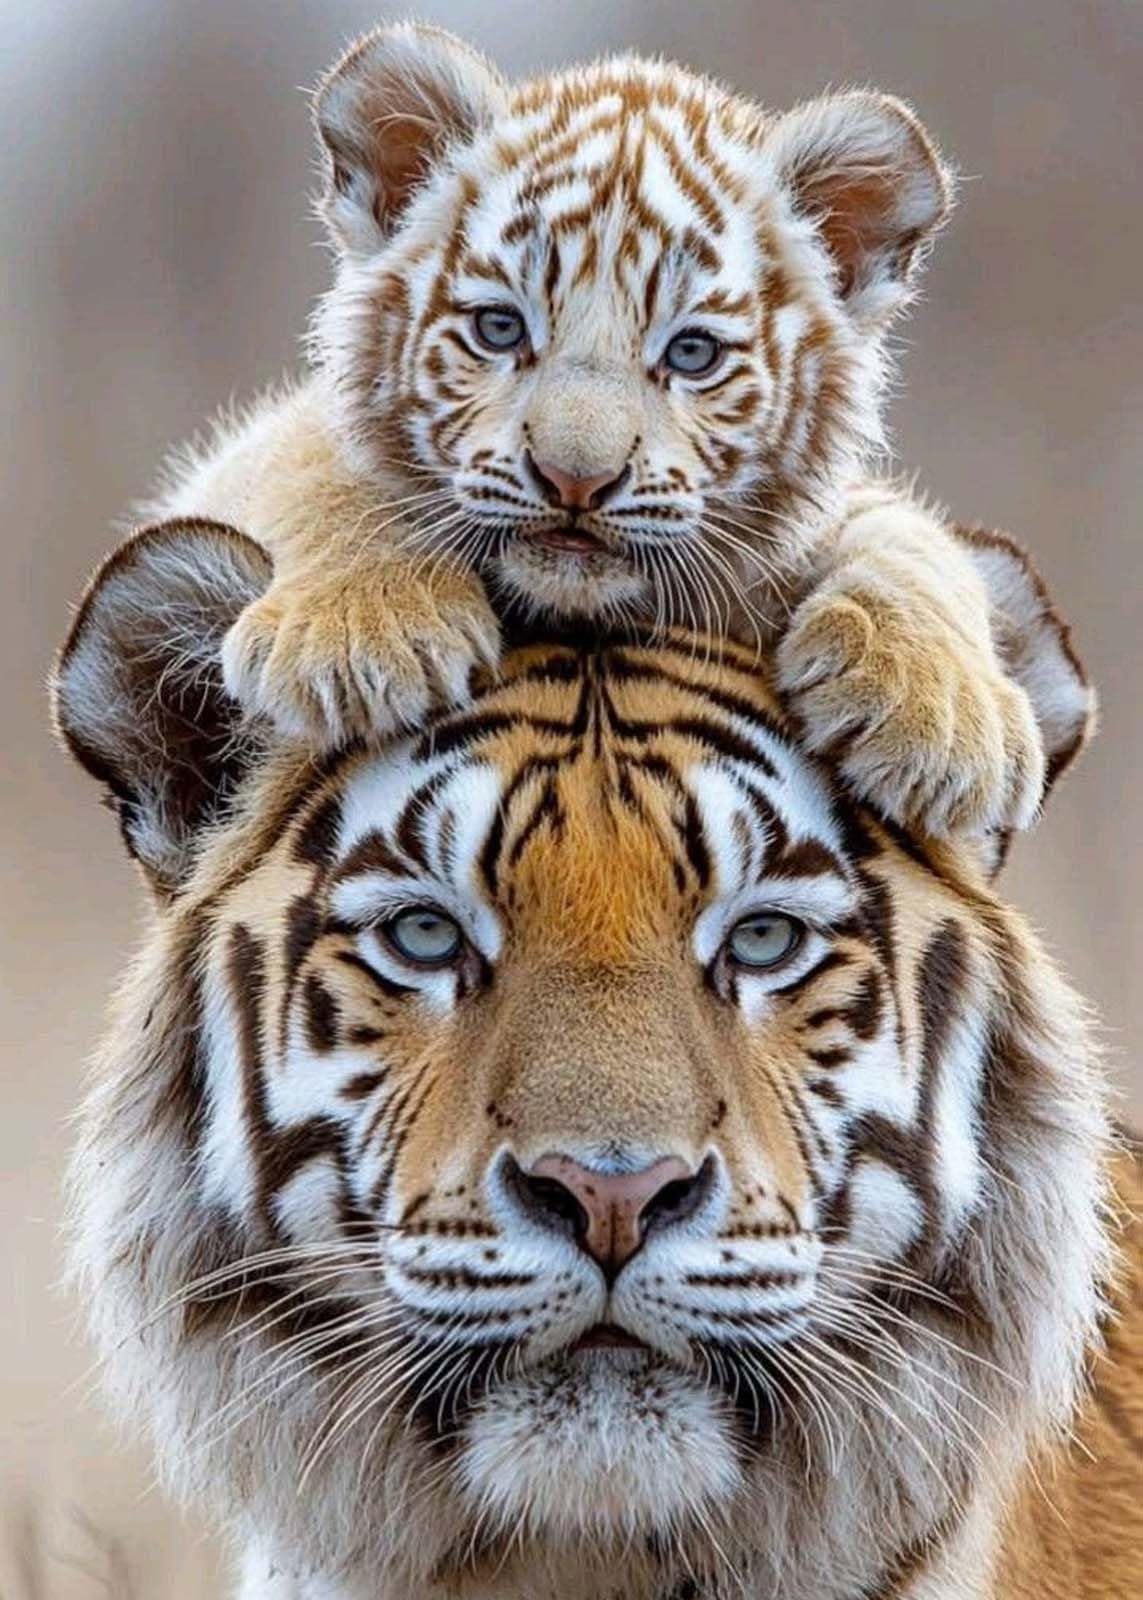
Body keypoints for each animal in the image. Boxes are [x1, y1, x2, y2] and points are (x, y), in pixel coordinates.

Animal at [151, 20, 1047, 841]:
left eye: (690, 353)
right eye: (500, 329)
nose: (574, 478)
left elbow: (907, 538)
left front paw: (936, 718)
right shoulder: (251, 458)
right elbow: (318, 465)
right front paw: (359, 637)